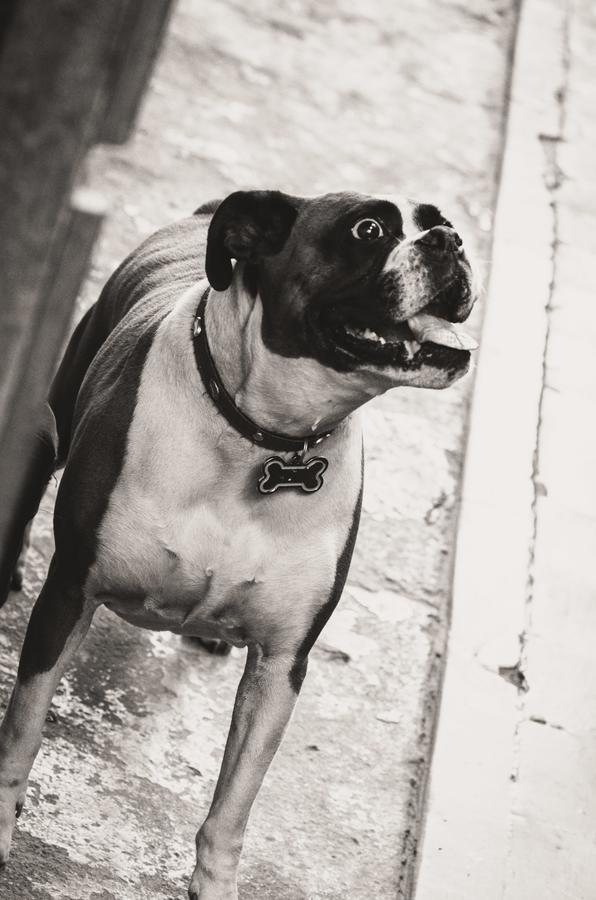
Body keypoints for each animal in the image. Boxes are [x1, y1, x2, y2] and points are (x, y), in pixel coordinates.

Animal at [0, 192, 474, 900]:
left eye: (439, 219)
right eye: (369, 229)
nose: (451, 241)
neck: (265, 439)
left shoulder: (280, 667)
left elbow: (233, 805)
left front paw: (214, 883)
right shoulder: (68, 596)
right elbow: (23, 728)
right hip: (47, 423)